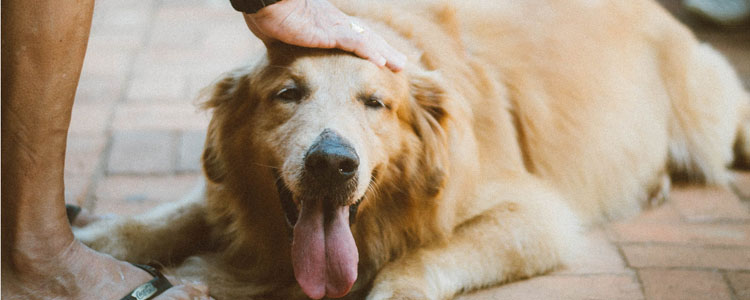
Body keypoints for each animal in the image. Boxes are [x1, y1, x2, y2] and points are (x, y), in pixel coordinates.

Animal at [76, 0, 750, 298]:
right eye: (288, 93)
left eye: (377, 103)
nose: (331, 163)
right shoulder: (232, 196)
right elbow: (160, 220)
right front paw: (92, 238)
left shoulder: (536, 215)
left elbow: (421, 259)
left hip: (708, 116)